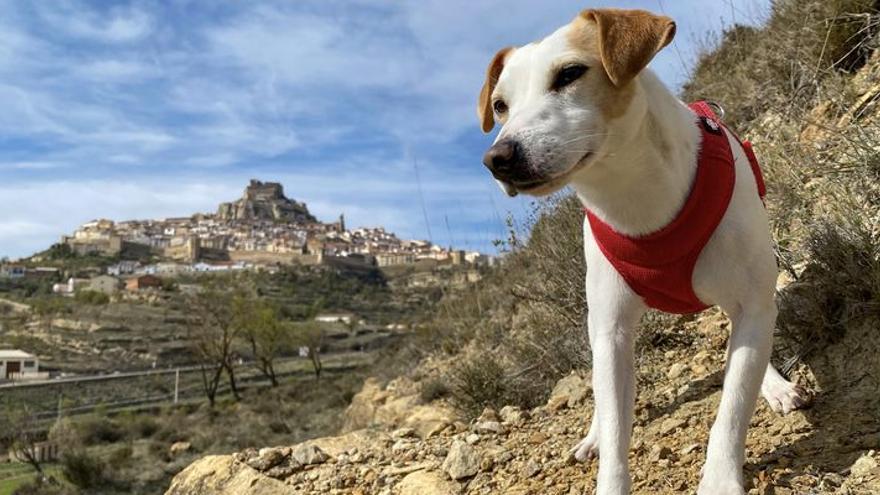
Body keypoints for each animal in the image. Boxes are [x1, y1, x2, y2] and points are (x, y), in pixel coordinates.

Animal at [478, 8, 808, 495]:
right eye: (500, 105)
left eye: (570, 74)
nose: (498, 158)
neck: (634, 197)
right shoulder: (612, 330)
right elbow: (617, 426)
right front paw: (608, 455)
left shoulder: (752, 304)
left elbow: (732, 406)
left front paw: (720, 479)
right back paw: (594, 433)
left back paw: (774, 386)